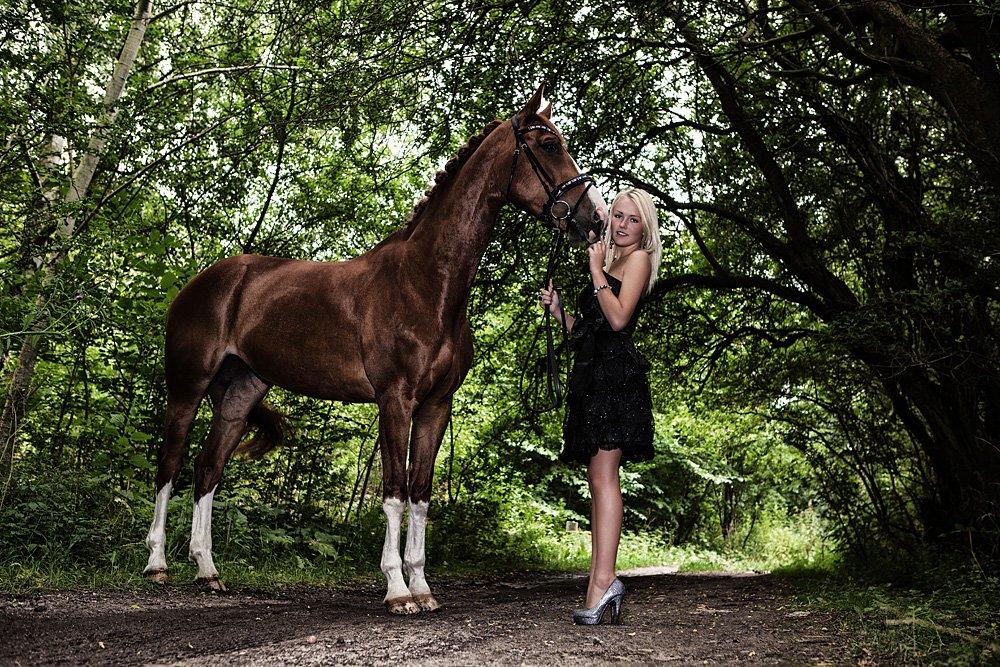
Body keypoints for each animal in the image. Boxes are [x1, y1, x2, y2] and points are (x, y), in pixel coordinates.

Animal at [142, 86, 604, 612]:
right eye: (548, 145)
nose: (594, 219)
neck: (426, 283)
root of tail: (200, 283)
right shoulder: (394, 400)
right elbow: (394, 491)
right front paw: (397, 590)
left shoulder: (435, 407)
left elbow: (421, 494)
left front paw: (422, 586)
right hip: (187, 386)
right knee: (170, 464)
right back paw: (157, 564)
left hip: (240, 395)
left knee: (207, 470)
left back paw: (207, 570)